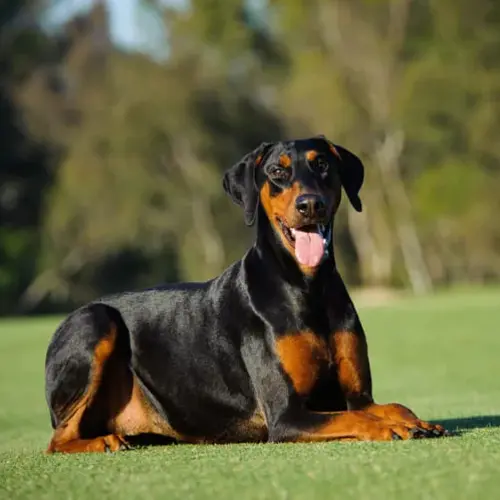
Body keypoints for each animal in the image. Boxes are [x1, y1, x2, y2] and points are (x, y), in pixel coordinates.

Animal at [45, 134, 448, 454]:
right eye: (276, 172)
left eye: (322, 165)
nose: (310, 204)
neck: (307, 287)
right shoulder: (286, 416)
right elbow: (357, 420)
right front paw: (390, 427)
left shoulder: (357, 397)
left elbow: (391, 406)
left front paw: (414, 420)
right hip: (96, 319)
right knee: (58, 440)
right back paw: (101, 441)